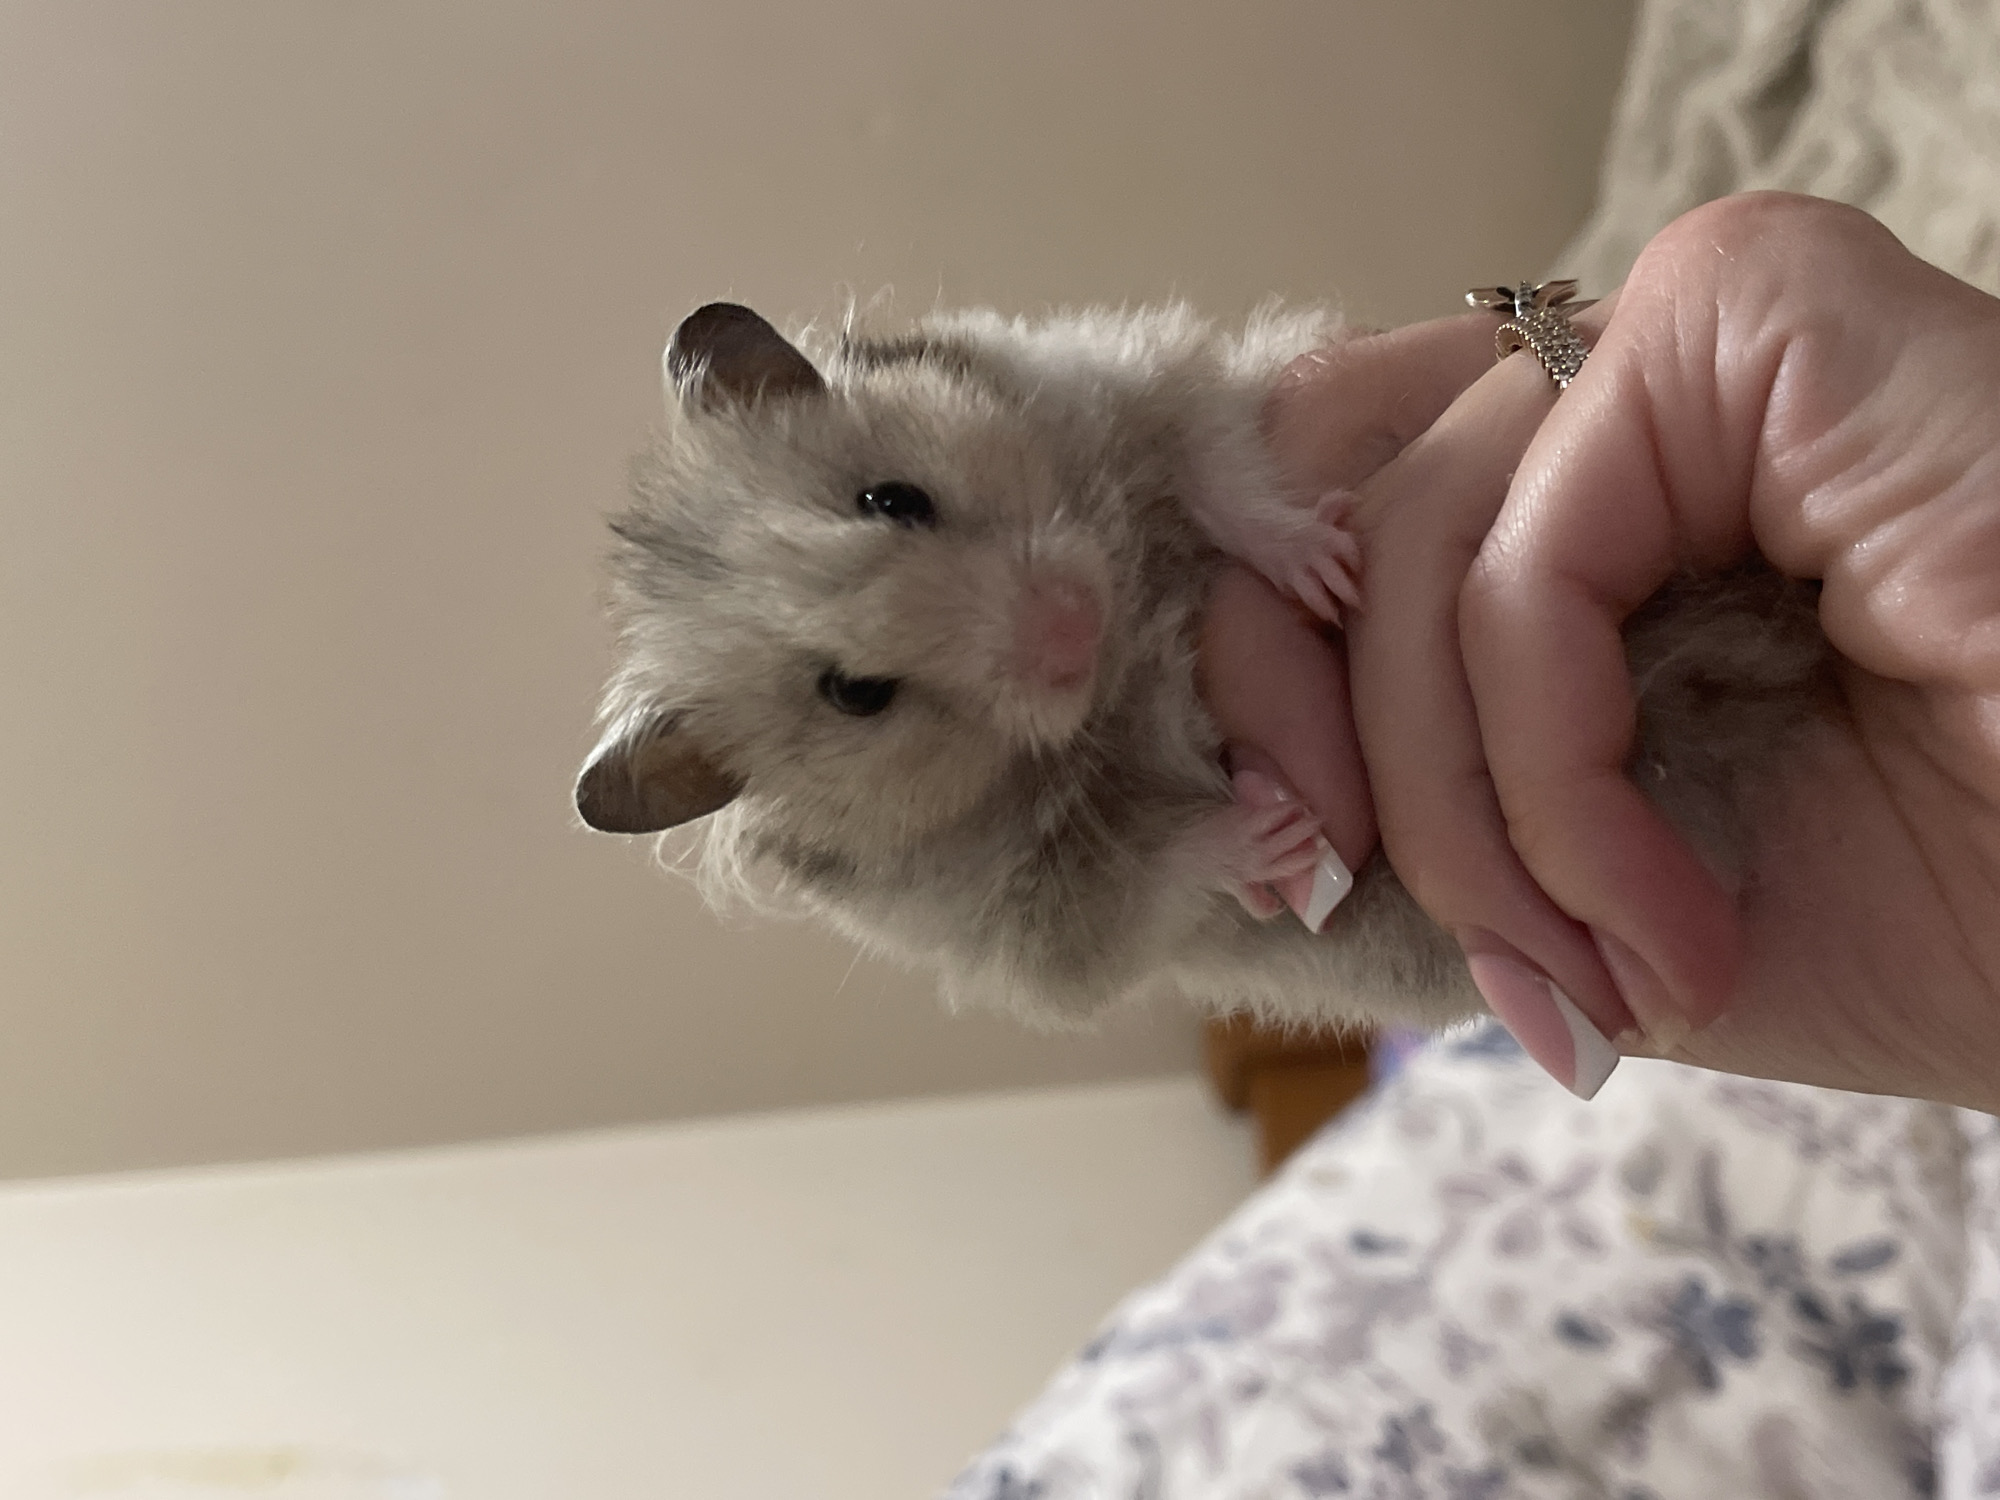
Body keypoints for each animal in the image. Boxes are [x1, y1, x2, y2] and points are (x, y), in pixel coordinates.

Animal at [574, 301, 1833, 1033]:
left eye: (892, 498)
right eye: (854, 695)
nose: (1069, 625)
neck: (1127, 642)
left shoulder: (1156, 383)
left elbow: (1213, 465)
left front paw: (1321, 571)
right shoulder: (1047, 933)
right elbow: (1151, 873)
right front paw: (1271, 838)